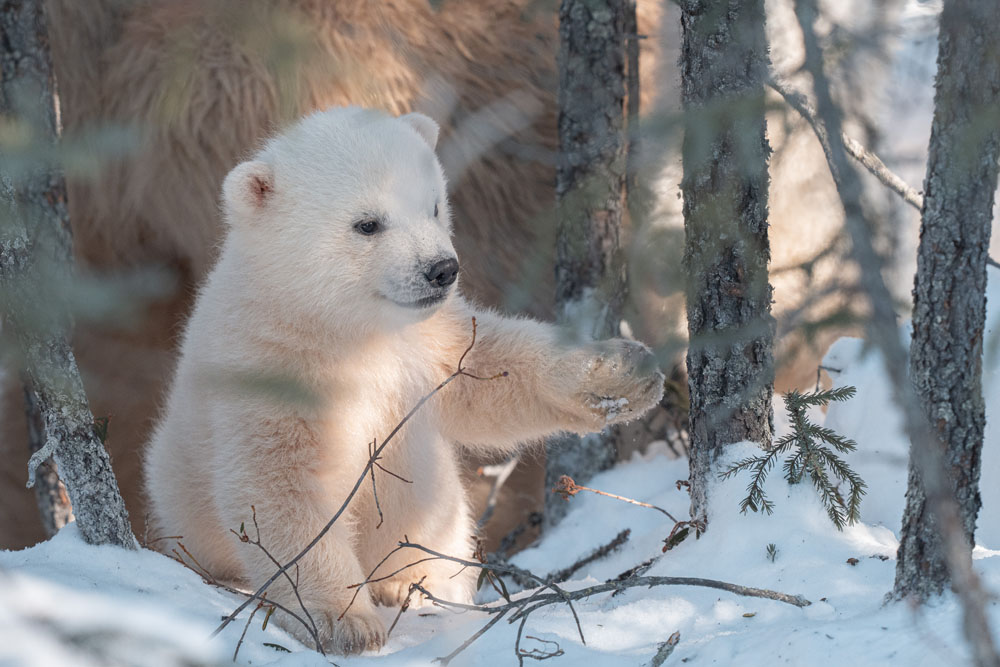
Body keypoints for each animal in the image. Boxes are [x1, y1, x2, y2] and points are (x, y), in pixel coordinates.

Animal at [145, 107, 664, 656]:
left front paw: (622, 375)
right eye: (367, 223)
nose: (441, 269)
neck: (348, 332)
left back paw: (412, 586)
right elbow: (281, 487)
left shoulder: (421, 344)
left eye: (434, 205)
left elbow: (487, 374)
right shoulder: (269, 366)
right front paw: (344, 622)